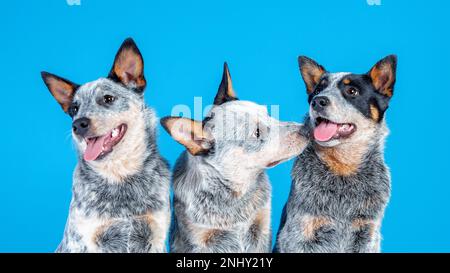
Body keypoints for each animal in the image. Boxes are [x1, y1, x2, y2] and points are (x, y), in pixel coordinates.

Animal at [40, 37, 171, 251]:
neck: (120, 176)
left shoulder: (155, 235)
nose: (78, 124)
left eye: (108, 99)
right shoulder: (86, 239)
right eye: (74, 108)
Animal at [160, 62, 308, 252]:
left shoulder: (261, 227)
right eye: (257, 133)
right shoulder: (199, 238)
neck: (236, 193)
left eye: (268, 114)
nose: (306, 129)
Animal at [274, 54, 398, 252]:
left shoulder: (367, 234)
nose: (318, 100)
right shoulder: (299, 235)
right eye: (318, 89)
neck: (343, 168)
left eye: (352, 91)